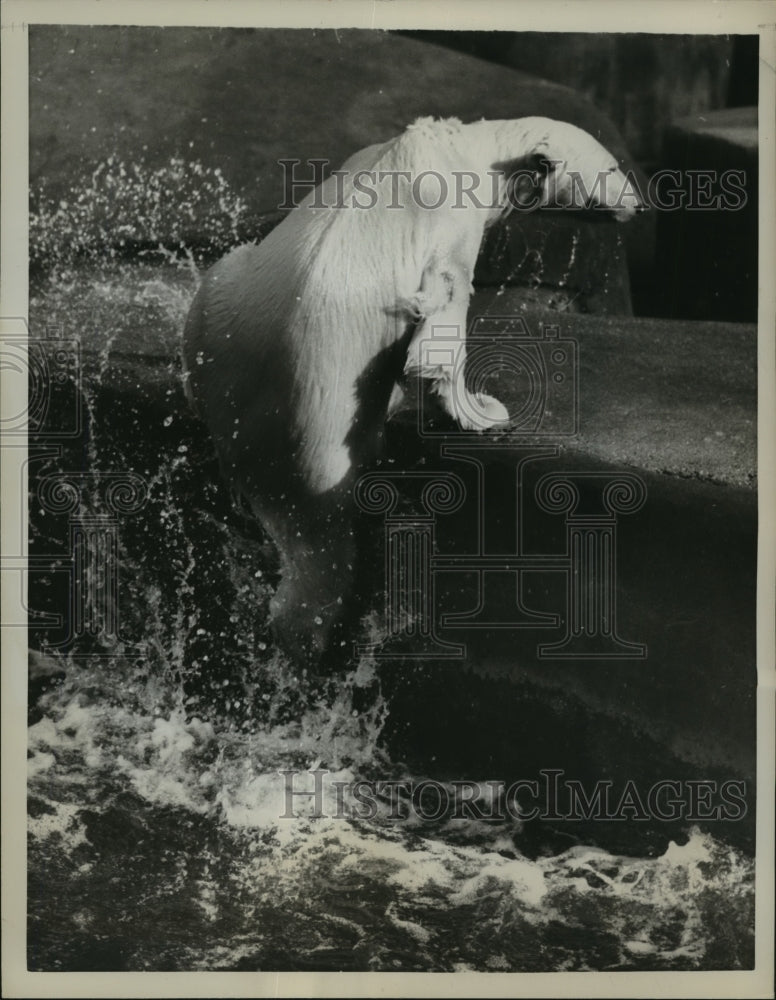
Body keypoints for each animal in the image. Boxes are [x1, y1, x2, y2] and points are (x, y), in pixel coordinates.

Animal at [183, 117, 644, 664]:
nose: (640, 204)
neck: (465, 153)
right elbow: (442, 315)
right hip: (324, 439)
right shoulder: (449, 226)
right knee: (326, 554)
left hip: (224, 323)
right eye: (613, 168)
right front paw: (484, 410)